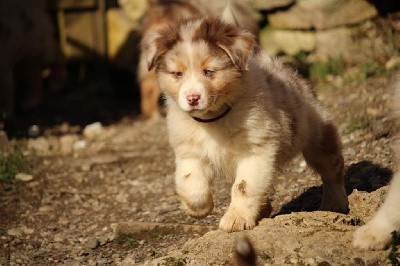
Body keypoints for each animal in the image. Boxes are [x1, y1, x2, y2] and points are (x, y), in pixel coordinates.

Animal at [142, 6, 348, 231]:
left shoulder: (256, 151)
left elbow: (243, 187)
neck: (214, 119)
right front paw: (198, 209)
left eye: (209, 71)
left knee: (332, 169)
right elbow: (190, 182)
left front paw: (236, 219)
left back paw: (335, 204)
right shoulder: (189, 153)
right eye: (177, 74)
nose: (192, 98)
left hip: (317, 136)